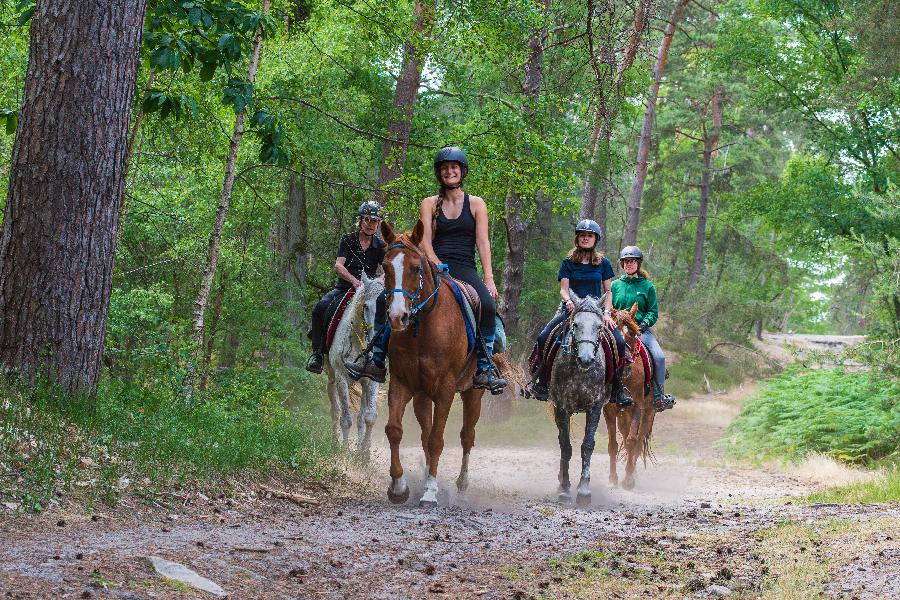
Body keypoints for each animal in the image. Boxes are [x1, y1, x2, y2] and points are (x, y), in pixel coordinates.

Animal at [324, 274, 384, 458]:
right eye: (365, 306)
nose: (376, 338)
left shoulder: (372, 381)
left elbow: (369, 417)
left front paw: (364, 455)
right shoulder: (341, 378)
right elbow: (345, 419)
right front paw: (344, 452)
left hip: (363, 384)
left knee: (361, 418)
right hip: (332, 379)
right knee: (335, 411)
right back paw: (335, 443)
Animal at [380, 219, 486, 506]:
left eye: (416, 268)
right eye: (385, 267)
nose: (397, 317)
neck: (422, 328)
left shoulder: (445, 390)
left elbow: (437, 440)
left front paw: (430, 491)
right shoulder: (401, 383)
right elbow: (394, 430)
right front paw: (398, 487)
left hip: (474, 391)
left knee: (467, 436)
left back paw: (461, 486)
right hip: (421, 395)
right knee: (425, 434)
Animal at [548, 292, 612, 504]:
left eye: (599, 326)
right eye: (575, 324)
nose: (586, 359)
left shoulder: (595, 407)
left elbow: (588, 445)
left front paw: (584, 489)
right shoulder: (561, 407)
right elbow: (566, 446)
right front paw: (565, 489)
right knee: (561, 439)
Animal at [604, 302, 652, 490]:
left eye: (632, 333)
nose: (624, 362)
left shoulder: (638, 405)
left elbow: (633, 441)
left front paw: (628, 480)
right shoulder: (609, 410)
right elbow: (613, 445)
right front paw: (612, 479)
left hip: (649, 413)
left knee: (638, 441)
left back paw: (632, 474)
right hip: (622, 415)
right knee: (625, 436)